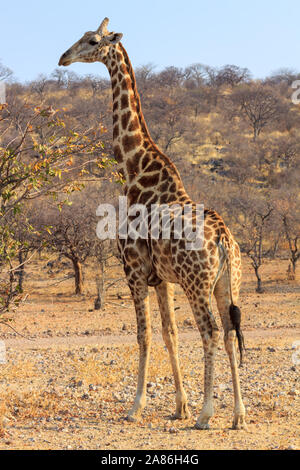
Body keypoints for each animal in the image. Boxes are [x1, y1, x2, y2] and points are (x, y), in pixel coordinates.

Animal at [58, 17, 246, 430]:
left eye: (91, 41)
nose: (63, 58)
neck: (132, 170)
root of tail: (225, 240)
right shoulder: (162, 279)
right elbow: (169, 333)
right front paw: (180, 406)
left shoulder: (134, 270)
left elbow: (143, 335)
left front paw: (137, 406)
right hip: (228, 284)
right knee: (229, 331)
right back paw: (239, 415)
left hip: (197, 284)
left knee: (210, 331)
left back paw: (208, 414)